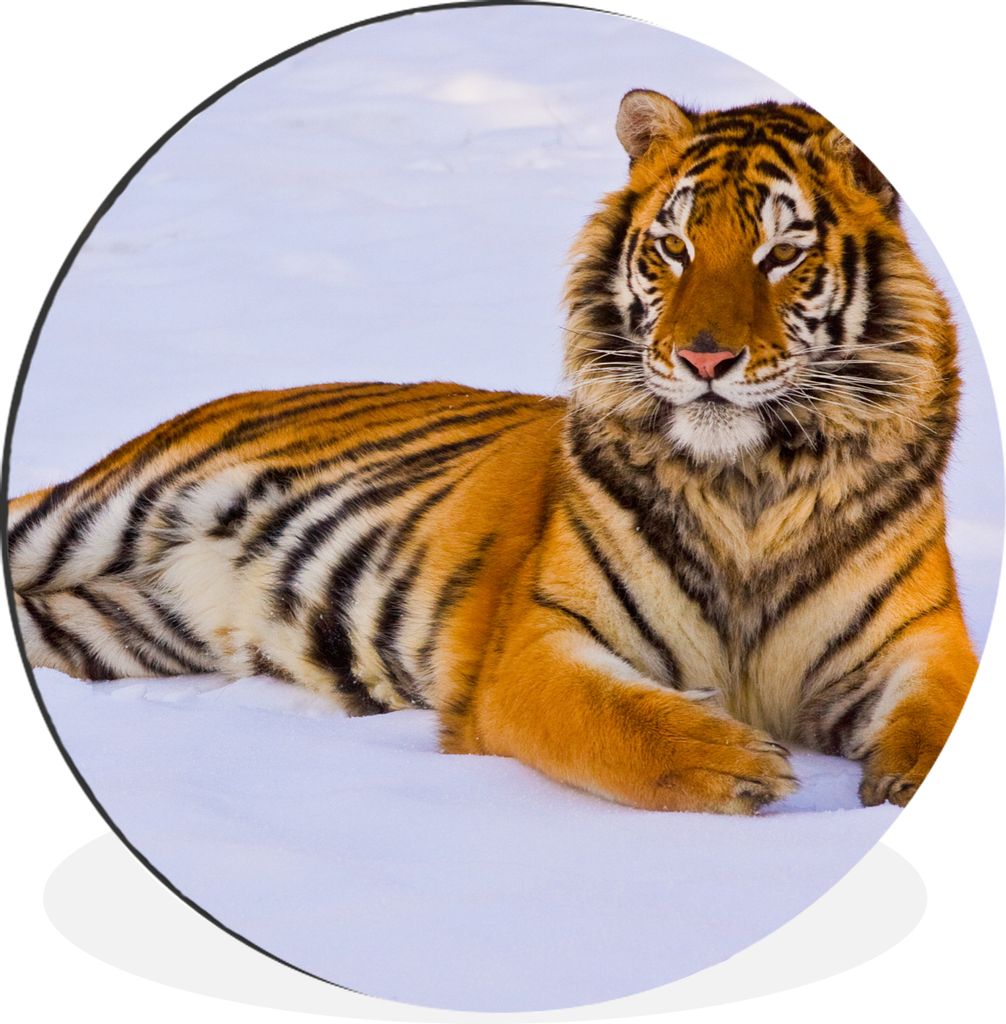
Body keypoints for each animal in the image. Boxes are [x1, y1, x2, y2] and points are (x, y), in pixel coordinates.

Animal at [6, 90, 977, 814]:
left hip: (113, 627)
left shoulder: (921, 639)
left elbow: (942, 715)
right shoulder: (538, 641)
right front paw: (738, 763)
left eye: (781, 254)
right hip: (96, 512)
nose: (704, 359)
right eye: (673, 246)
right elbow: (614, 719)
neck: (749, 481)